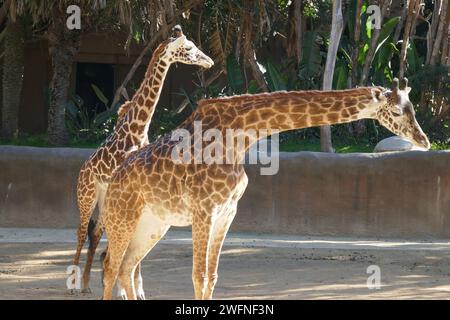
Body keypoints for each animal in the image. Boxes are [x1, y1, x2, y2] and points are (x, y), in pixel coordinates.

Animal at [72, 25, 214, 298]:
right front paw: (126, 289)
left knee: (96, 233)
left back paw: (88, 283)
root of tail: (83, 169)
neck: (137, 128)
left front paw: (137, 290)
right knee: (82, 232)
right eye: (188, 48)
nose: (209, 61)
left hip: (105, 200)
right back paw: (75, 284)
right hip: (87, 195)